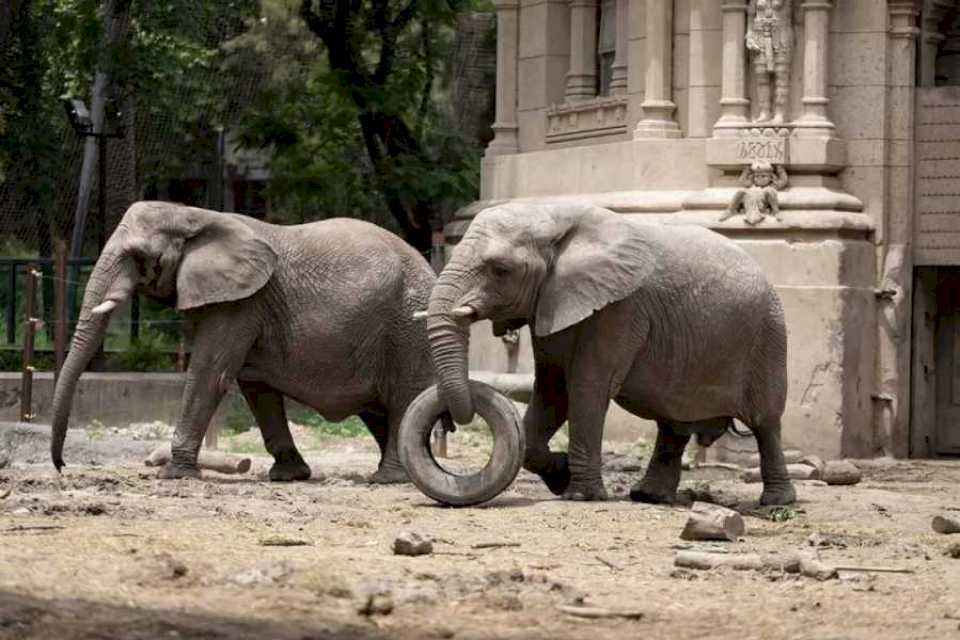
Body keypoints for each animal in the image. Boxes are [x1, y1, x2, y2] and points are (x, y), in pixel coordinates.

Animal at [52, 202, 436, 482]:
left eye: (138, 257)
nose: (61, 467)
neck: (194, 215)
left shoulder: (242, 302)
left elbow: (210, 373)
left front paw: (174, 474)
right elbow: (254, 384)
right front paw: (289, 475)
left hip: (408, 329)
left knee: (402, 399)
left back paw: (388, 478)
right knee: (377, 410)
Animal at [426, 201, 796, 504]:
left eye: (500, 270)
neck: (552, 215)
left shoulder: (619, 310)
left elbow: (586, 388)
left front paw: (579, 495)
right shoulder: (552, 302)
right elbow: (552, 391)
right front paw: (560, 476)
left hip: (769, 337)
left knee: (766, 422)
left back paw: (776, 502)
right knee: (673, 424)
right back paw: (648, 496)